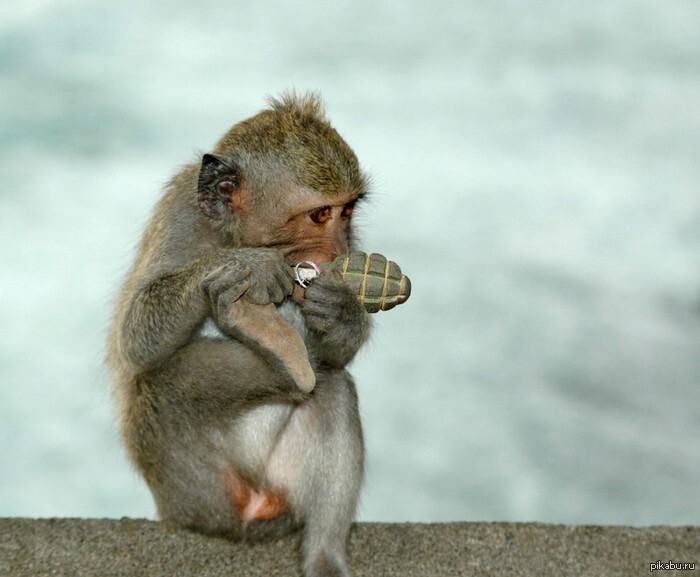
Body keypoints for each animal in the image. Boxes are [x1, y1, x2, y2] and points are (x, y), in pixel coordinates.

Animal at [107, 93, 372, 576]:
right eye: (319, 214)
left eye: (346, 211)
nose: (342, 250)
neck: (233, 231)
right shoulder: (181, 214)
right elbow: (134, 338)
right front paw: (243, 265)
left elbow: (339, 355)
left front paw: (343, 310)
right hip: (189, 482)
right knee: (166, 378)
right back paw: (277, 352)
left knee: (332, 386)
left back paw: (324, 556)